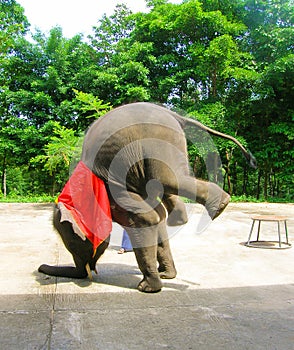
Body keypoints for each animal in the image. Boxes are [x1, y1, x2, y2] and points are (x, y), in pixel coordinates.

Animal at [38, 102, 255, 292]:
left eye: (73, 244)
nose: (41, 268)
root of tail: (175, 115)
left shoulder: (114, 190)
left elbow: (145, 220)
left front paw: (147, 288)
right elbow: (157, 218)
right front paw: (166, 276)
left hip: (159, 139)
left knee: (170, 179)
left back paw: (219, 206)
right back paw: (185, 218)